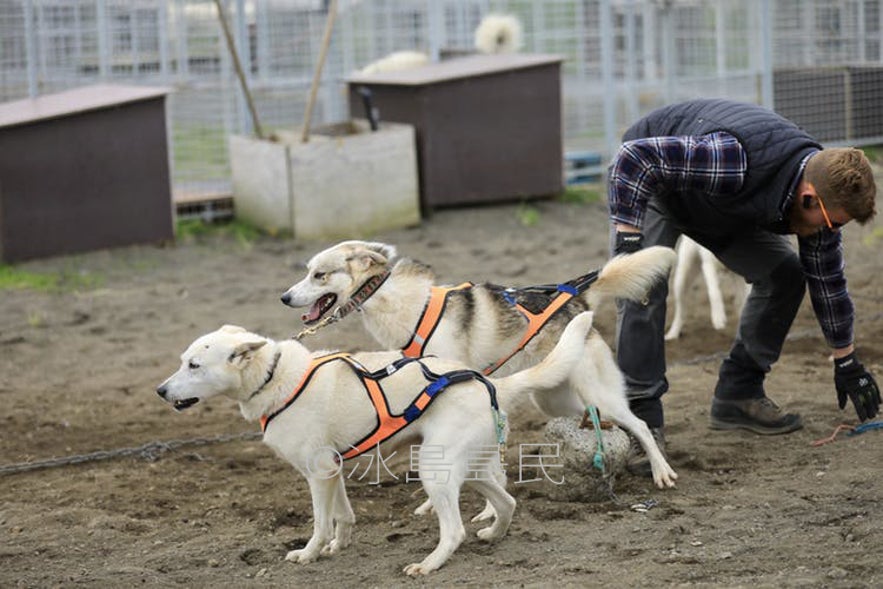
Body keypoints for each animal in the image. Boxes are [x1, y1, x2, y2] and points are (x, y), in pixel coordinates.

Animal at [157, 312, 592, 576]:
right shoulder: (332, 470)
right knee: (507, 501)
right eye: (182, 361)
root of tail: (489, 382)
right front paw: (338, 546)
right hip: (469, 470)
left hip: (435, 470)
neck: (274, 376)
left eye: (194, 366)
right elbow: (343, 515)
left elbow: (320, 522)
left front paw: (309, 554)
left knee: (454, 529)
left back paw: (429, 564)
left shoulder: (318, 472)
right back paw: (493, 535)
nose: (161, 391)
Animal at [280, 239, 680, 486]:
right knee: (594, 416)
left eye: (319, 274)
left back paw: (661, 472)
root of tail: (578, 300)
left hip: (597, 391)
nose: (284, 297)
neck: (406, 308)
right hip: (553, 396)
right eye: (307, 271)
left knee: (640, 424)